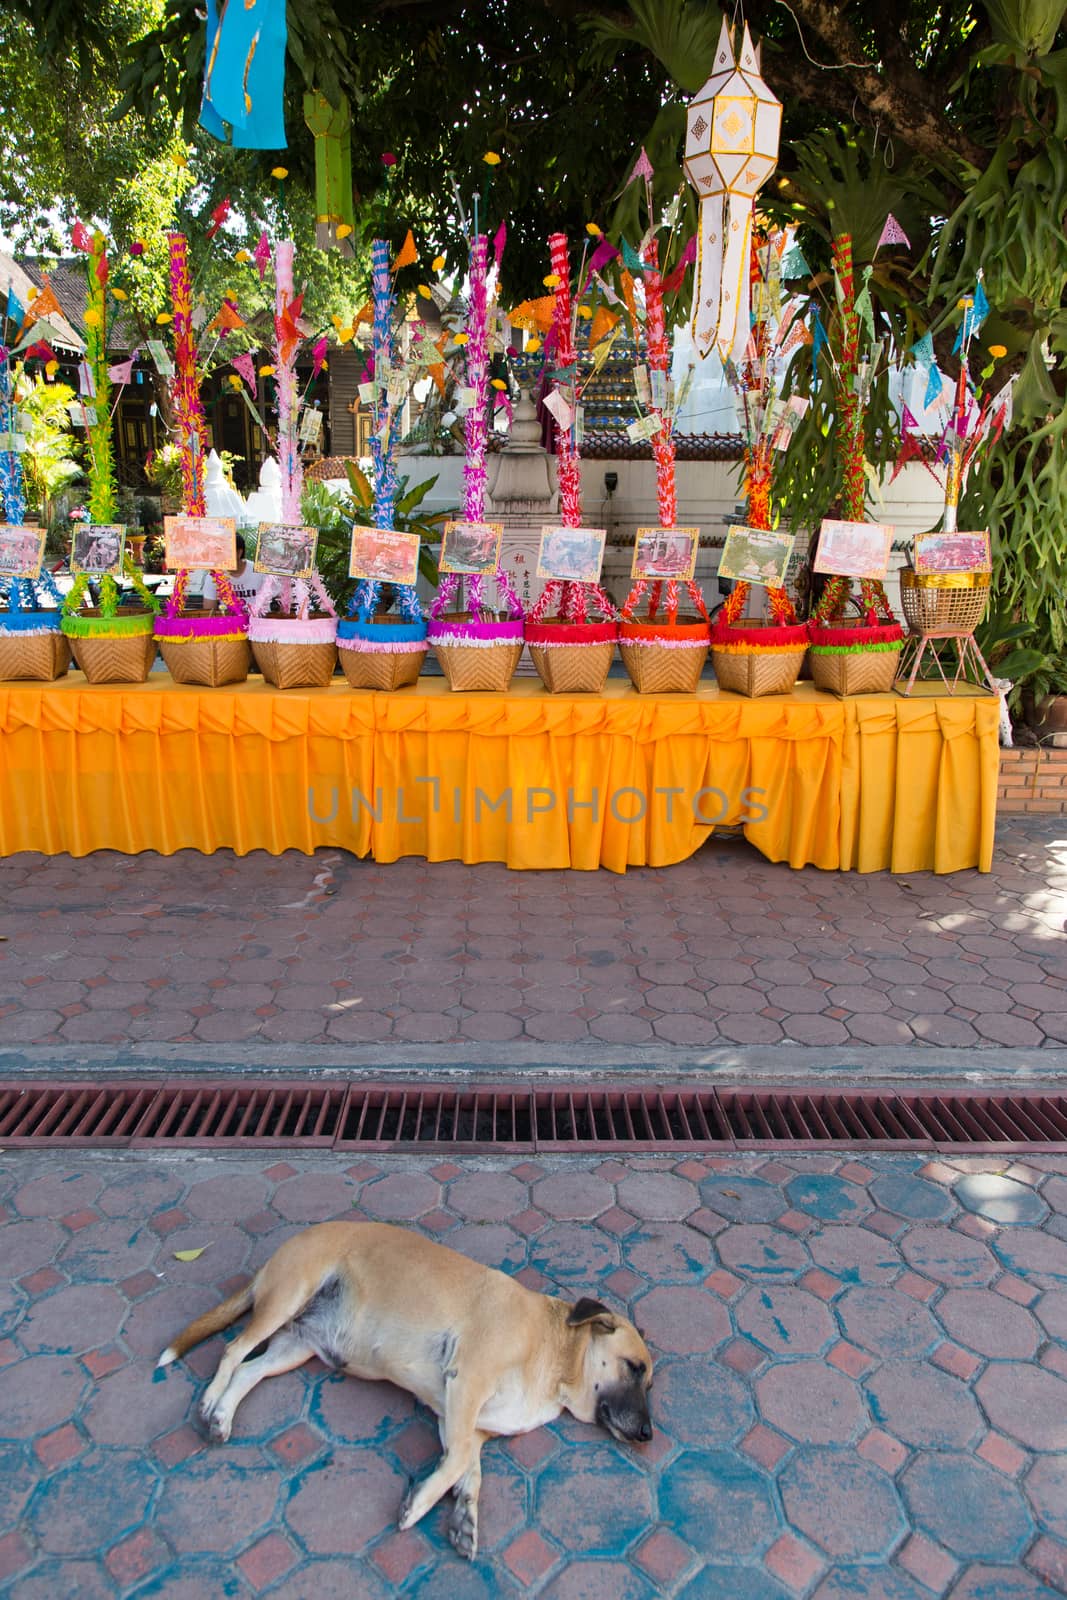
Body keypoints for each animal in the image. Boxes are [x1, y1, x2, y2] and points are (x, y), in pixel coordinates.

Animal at [161, 1216, 655, 1555]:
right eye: (634, 1368)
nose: (649, 1435)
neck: (554, 1355)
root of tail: (273, 1258)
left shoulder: (463, 1422)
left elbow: (468, 1469)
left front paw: (465, 1515)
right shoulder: (465, 1385)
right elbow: (456, 1464)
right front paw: (419, 1505)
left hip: (295, 1347)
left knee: (249, 1371)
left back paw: (223, 1416)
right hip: (284, 1300)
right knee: (231, 1351)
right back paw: (209, 1402)